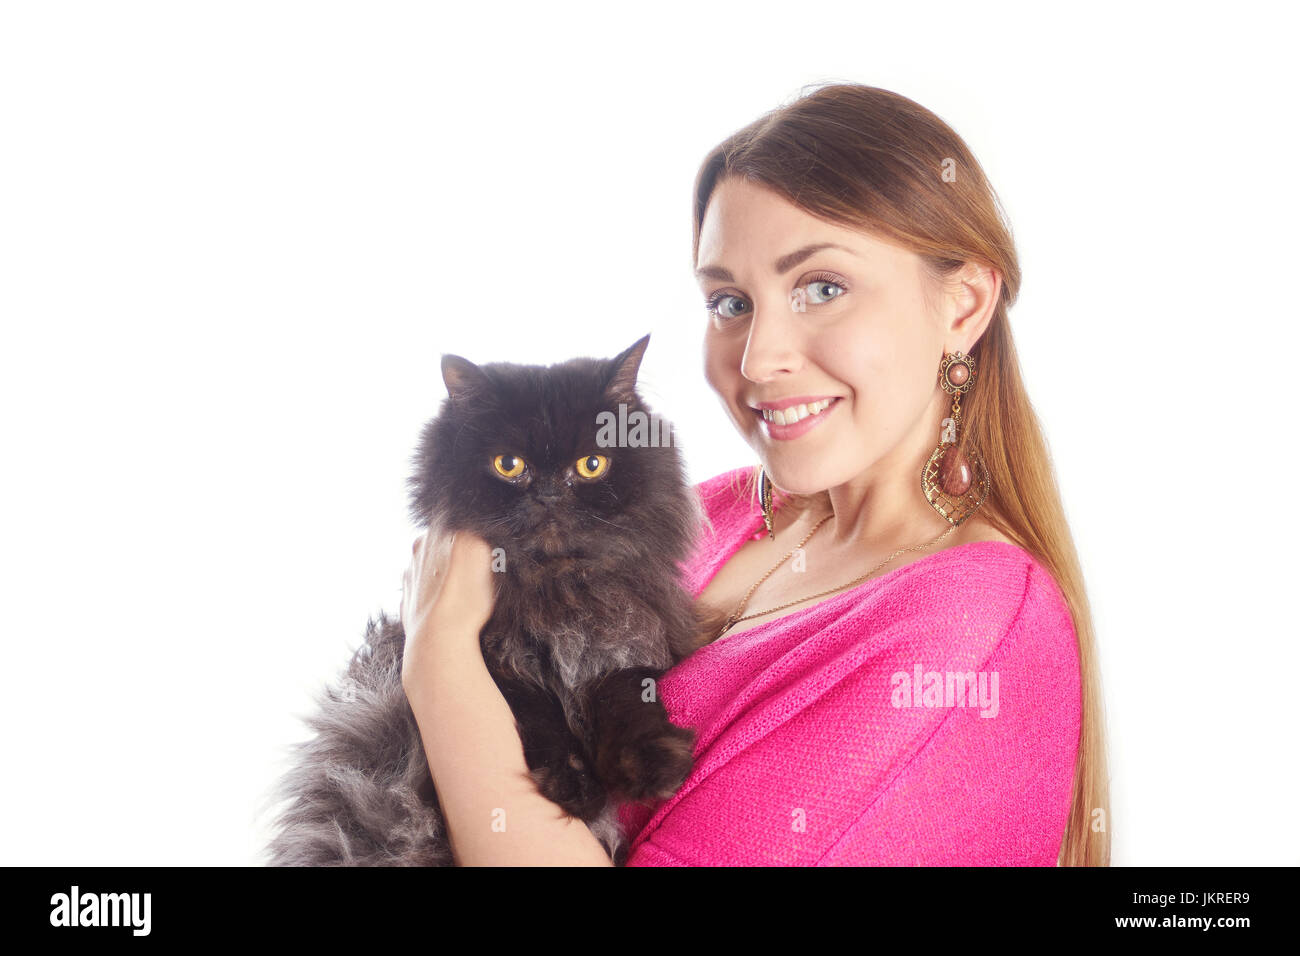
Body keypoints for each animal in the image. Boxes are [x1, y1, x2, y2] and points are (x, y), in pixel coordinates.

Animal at [262, 335, 722, 868]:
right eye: (510, 465)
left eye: (591, 465)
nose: (549, 495)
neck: (556, 591)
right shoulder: (494, 659)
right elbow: (537, 713)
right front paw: (574, 787)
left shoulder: (630, 634)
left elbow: (623, 690)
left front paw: (650, 764)